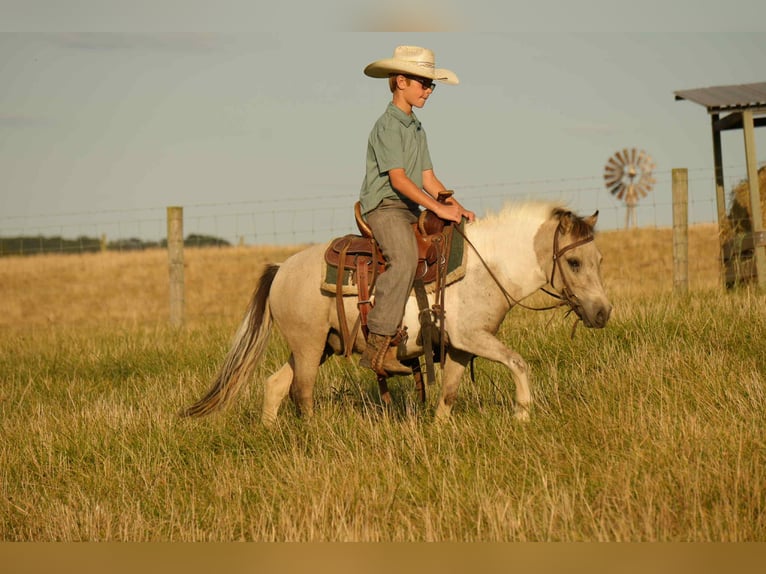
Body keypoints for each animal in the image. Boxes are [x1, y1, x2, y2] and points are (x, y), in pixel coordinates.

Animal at [182, 201, 612, 424]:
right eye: (573, 262)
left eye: (599, 259)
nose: (603, 313)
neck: (487, 264)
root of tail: (281, 269)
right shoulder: (474, 337)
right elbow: (518, 363)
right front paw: (523, 414)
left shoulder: (459, 347)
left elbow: (449, 393)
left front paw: (438, 430)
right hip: (308, 346)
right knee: (301, 391)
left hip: (319, 346)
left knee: (274, 385)